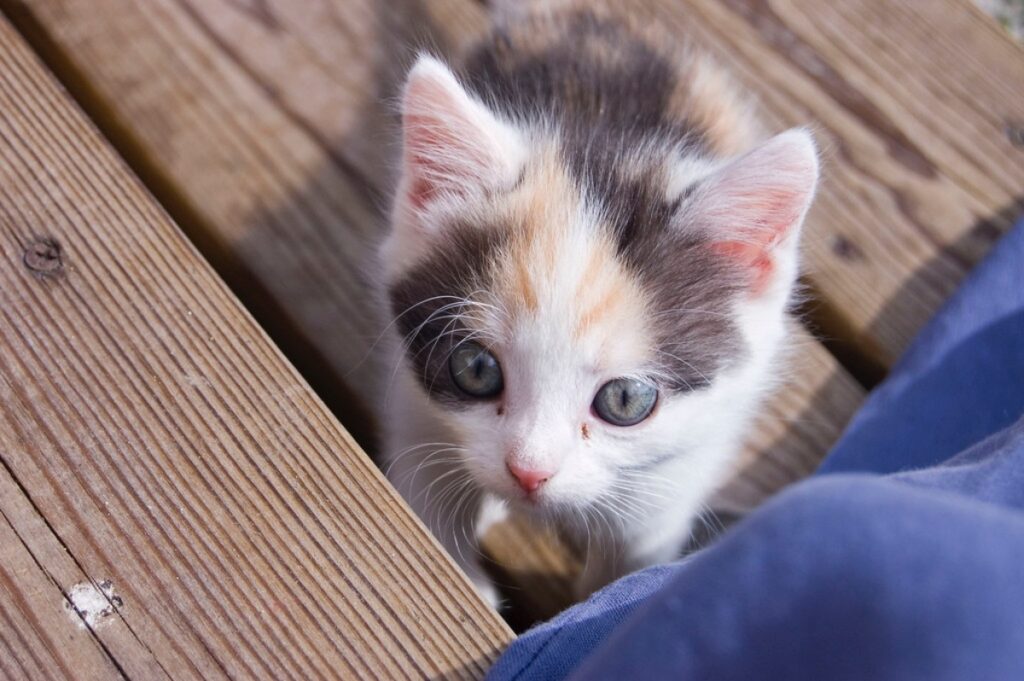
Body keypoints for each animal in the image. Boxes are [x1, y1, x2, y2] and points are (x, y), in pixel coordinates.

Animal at [374, 1, 815, 606]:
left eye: (625, 400)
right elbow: (428, 512)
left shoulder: (670, 480)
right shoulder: (415, 409)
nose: (529, 473)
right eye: (475, 368)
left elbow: (624, 576)